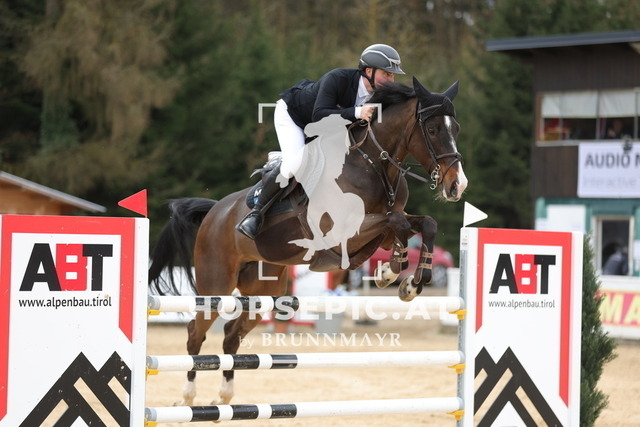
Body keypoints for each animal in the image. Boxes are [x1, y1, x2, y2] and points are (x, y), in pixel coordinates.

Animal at [148, 76, 468, 406]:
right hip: (217, 285)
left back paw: (224, 397)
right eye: (433, 129)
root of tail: (214, 211)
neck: (374, 165)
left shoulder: (381, 230)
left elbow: (420, 224)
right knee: (195, 333)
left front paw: (410, 282)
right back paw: (187, 397)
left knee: (231, 335)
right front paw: (390, 273)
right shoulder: (343, 234)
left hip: (263, 289)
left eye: (455, 129)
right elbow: (398, 222)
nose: (457, 185)